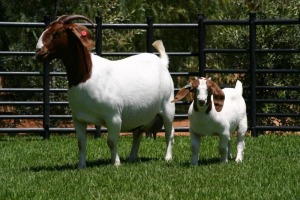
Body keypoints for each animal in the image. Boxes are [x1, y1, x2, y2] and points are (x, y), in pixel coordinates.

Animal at [35, 14, 175, 168]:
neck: (86, 75)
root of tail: (162, 62)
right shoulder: (78, 118)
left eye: (58, 32)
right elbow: (81, 143)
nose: (38, 51)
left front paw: (116, 163)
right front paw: (81, 166)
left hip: (168, 107)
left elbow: (111, 142)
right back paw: (132, 158)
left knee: (169, 133)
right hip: (140, 114)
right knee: (137, 134)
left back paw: (167, 158)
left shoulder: (113, 116)